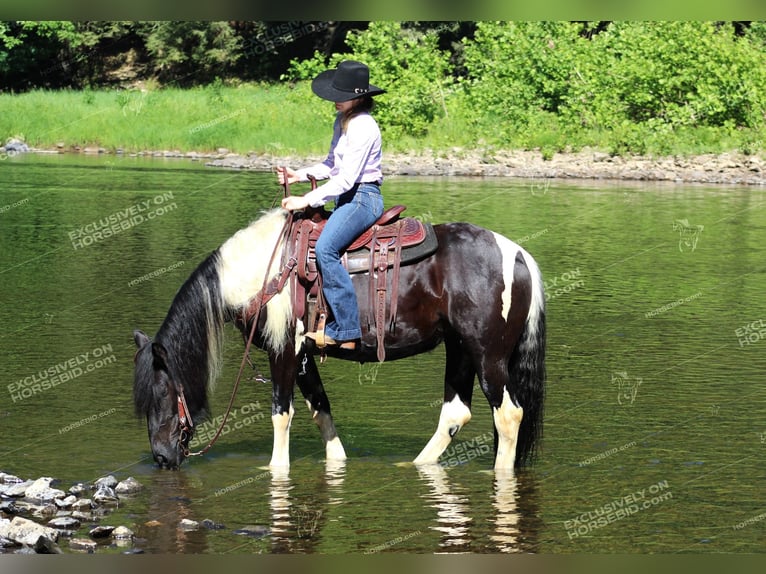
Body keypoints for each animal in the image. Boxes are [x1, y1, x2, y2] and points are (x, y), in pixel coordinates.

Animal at [135, 207, 548, 472]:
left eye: (161, 392)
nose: (161, 457)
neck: (262, 271)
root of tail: (518, 255)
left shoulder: (283, 349)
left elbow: (281, 414)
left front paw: (275, 469)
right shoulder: (303, 354)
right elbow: (321, 409)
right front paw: (338, 462)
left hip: (487, 354)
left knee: (508, 414)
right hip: (459, 348)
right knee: (455, 412)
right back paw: (415, 464)